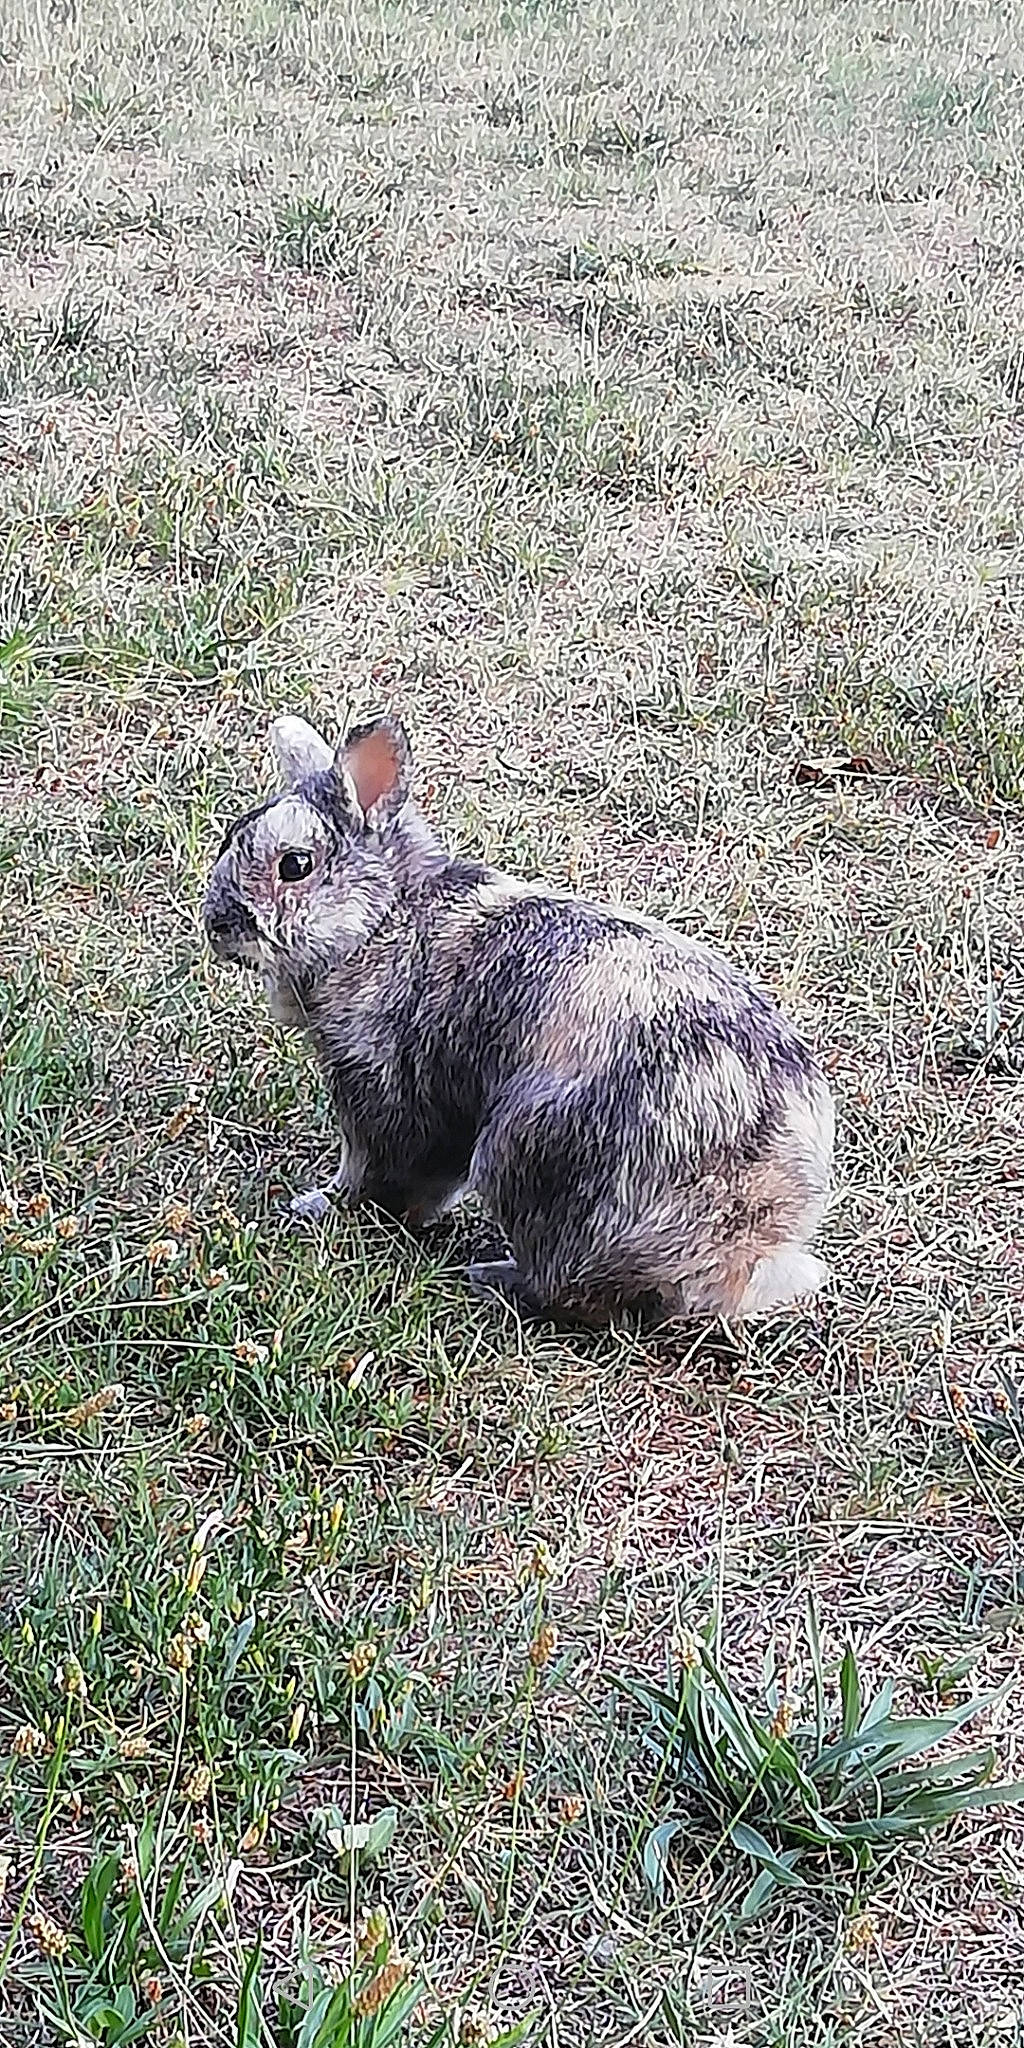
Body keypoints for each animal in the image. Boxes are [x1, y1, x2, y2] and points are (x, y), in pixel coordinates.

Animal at [203, 712, 834, 1325]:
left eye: (295, 865)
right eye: (231, 835)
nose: (217, 925)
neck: (383, 920)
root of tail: (747, 1243)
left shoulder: (382, 1090)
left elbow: (377, 1169)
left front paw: (321, 1205)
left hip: (531, 1159)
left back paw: (490, 1278)